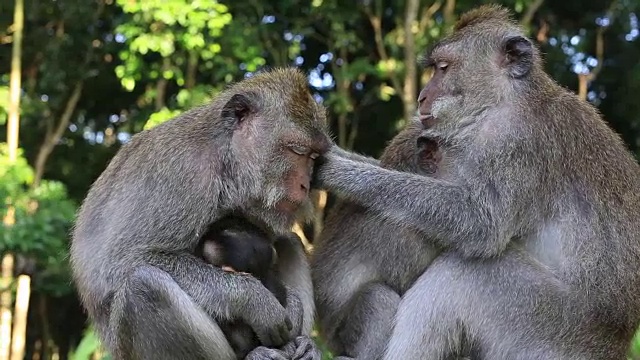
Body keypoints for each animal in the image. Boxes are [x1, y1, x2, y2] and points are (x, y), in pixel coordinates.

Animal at [71, 68, 330, 360]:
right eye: (297, 150)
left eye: (313, 157)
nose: (305, 185)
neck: (224, 158)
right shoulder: (184, 175)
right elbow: (120, 264)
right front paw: (254, 300)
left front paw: (293, 304)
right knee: (143, 285)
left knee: (289, 241)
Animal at [312, 5, 640, 360]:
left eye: (443, 68)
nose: (422, 97)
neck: (507, 98)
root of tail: (613, 345)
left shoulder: (516, 141)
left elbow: (483, 224)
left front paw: (339, 172)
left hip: (554, 328)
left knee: (465, 274)